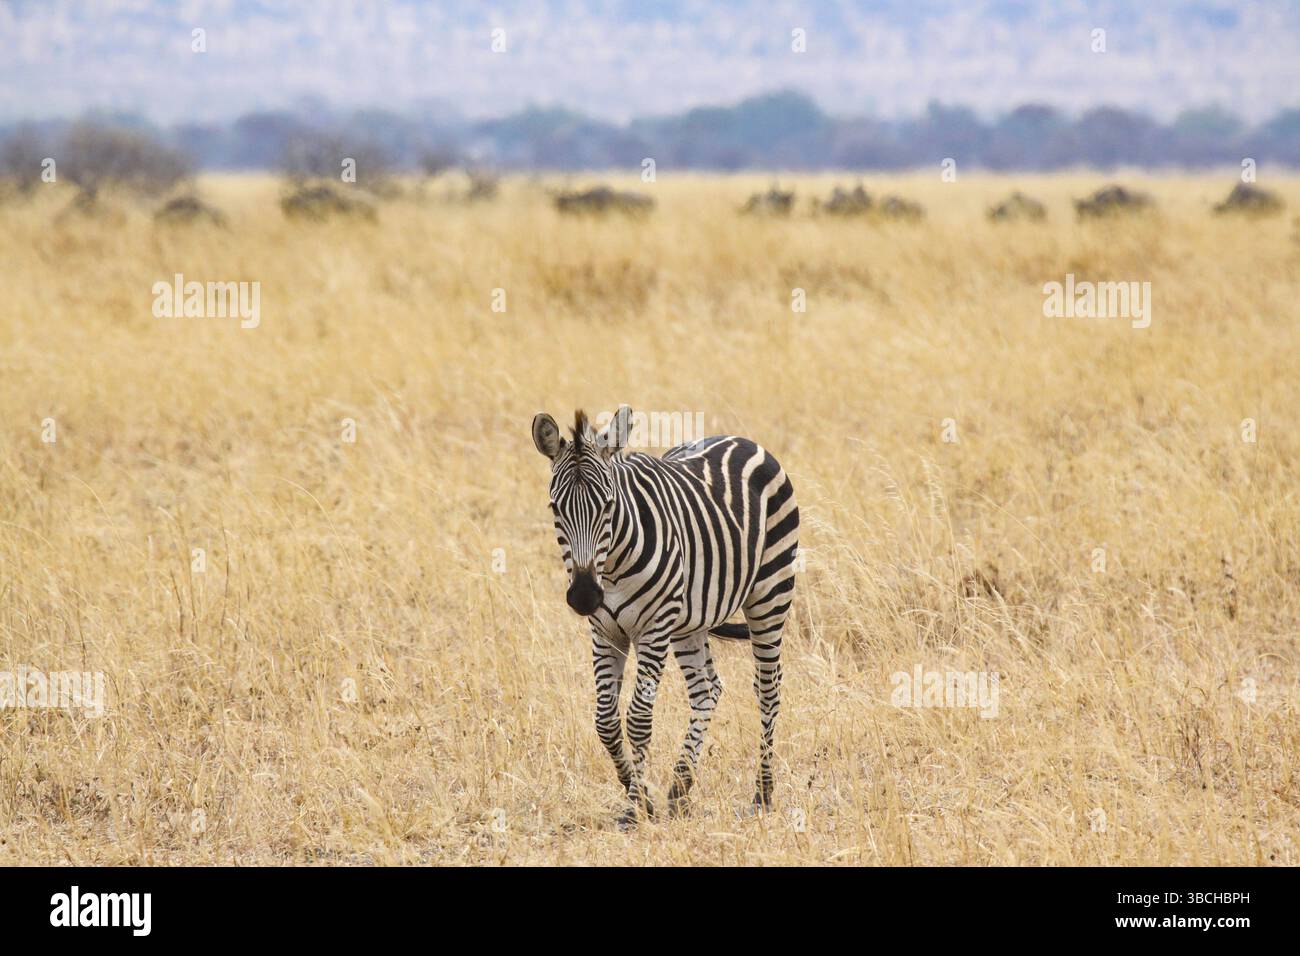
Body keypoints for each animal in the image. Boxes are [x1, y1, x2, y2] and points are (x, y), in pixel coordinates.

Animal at [531, 405, 799, 826]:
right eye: (555, 509)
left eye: (608, 505)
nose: (585, 596)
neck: (612, 568)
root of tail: (740, 439)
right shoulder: (605, 632)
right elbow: (605, 721)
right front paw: (638, 794)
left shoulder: (654, 629)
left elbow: (639, 718)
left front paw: (636, 804)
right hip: (691, 621)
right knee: (707, 690)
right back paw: (680, 788)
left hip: (770, 592)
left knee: (768, 690)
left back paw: (763, 792)